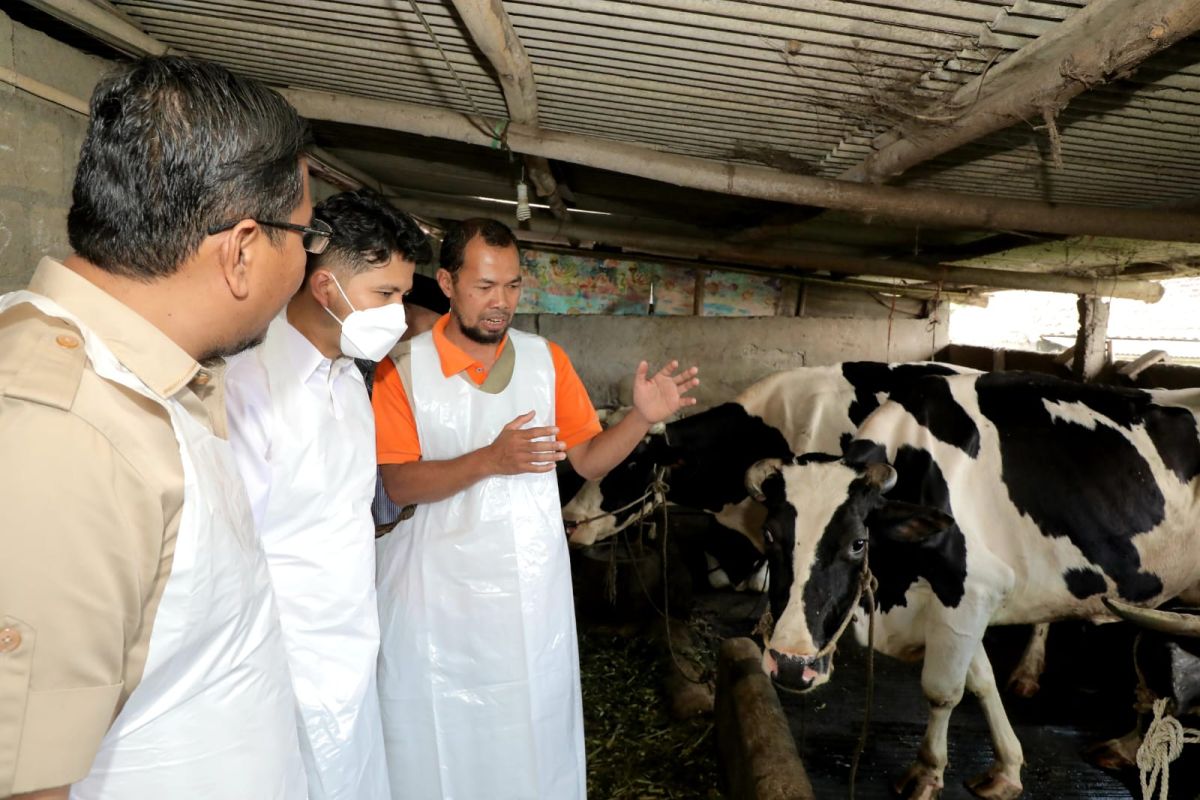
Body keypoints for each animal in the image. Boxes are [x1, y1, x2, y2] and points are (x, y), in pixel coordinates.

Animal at [753, 371, 1200, 796]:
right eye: (770, 534)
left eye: (857, 543)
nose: (790, 664)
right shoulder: (959, 605)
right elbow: (982, 681)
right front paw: (1006, 768)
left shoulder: (970, 591)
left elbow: (943, 690)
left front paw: (926, 772)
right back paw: (1123, 748)